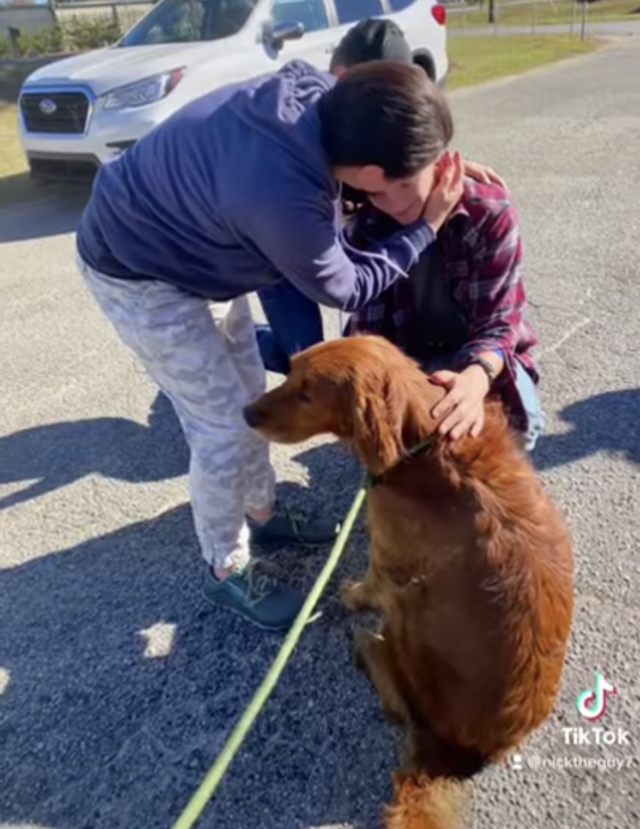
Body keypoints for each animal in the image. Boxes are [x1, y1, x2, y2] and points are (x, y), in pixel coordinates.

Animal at [242, 334, 572, 824]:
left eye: (306, 393)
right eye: (289, 372)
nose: (247, 413)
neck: (421, 443)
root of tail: (457, 756)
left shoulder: (388, 554)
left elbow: (369, 583)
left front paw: (352, 595)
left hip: (411, 610)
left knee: (400, 705)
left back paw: (367, 644)